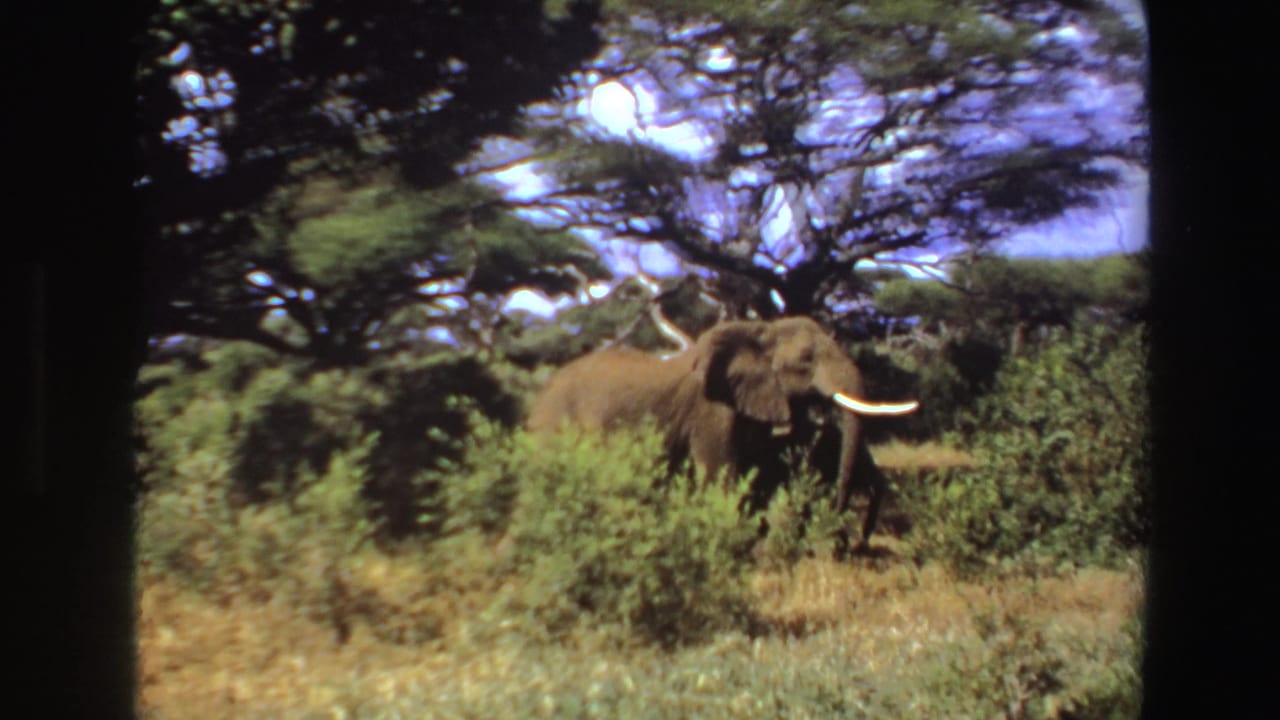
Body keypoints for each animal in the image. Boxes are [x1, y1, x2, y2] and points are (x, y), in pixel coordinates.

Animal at [526, 316, 919, 547]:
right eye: (807, 360)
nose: (850, 543)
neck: (760, 331)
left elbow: (752, 471)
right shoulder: (711, 410)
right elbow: (723, 474)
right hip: (555, 421)